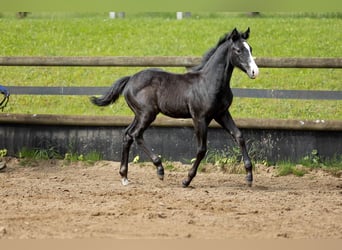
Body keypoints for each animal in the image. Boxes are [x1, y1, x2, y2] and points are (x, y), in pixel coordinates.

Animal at [91, 27, 260, 188]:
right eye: (238, 50)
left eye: (251, 48)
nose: (254, 71)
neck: (209, 82)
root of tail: (130, 79)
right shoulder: (199, 118)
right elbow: (201, 149)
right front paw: (186, 180)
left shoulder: (221, 114)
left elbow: (239, 136)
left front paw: (249, 177)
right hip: (147, 114)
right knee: (136, 135)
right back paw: (159, 169)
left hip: (138, 115)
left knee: (127, 135)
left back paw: (125, 177)